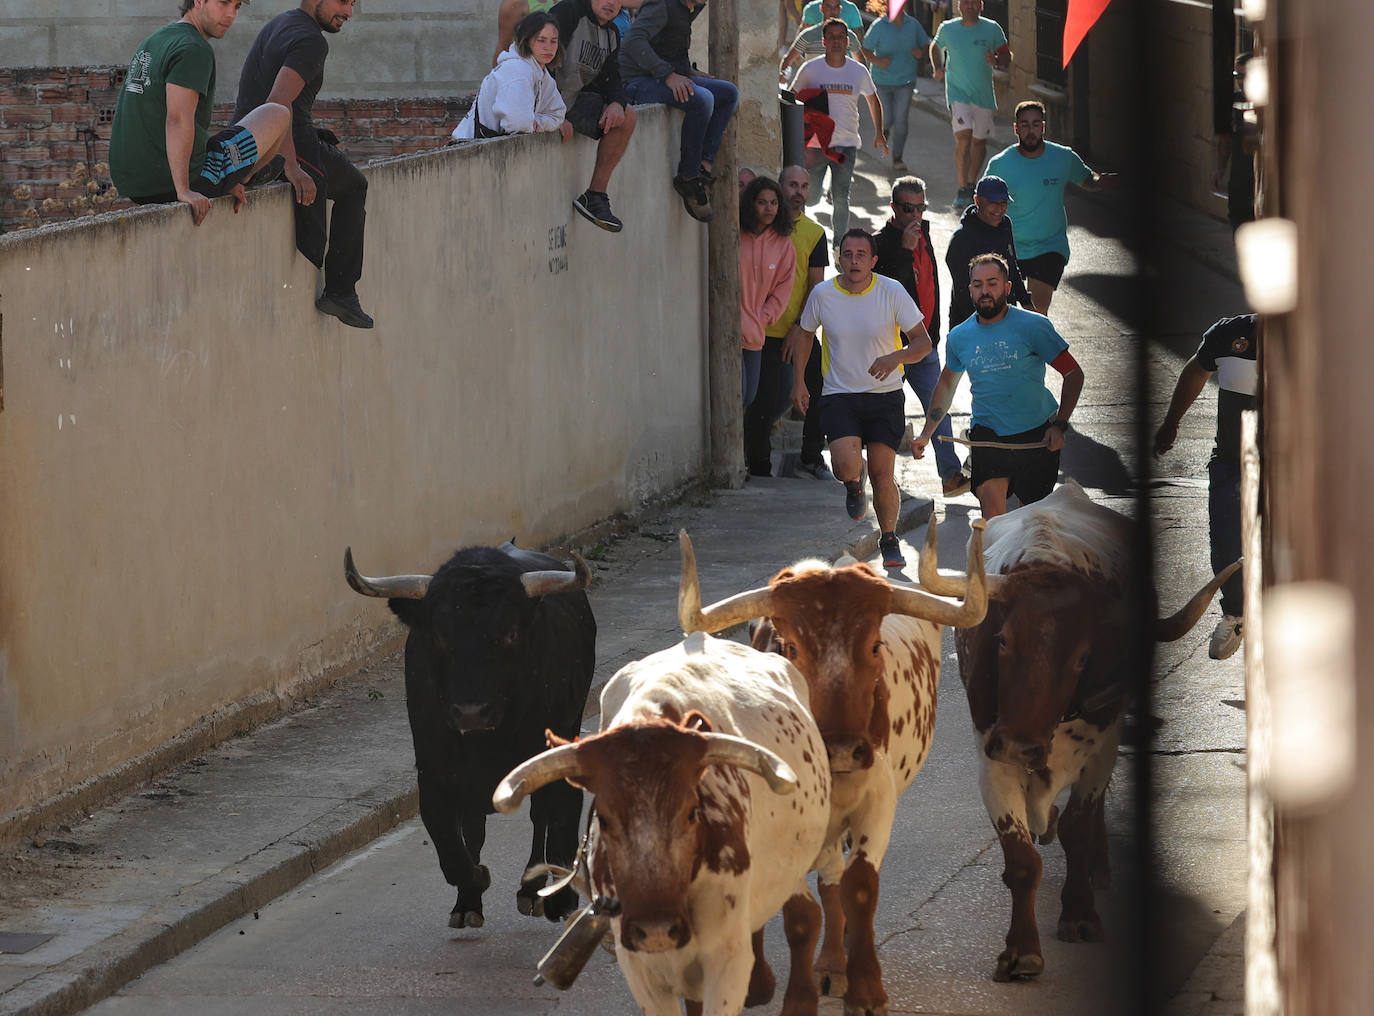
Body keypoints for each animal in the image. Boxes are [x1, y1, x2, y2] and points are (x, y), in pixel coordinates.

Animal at [343, 547, 596, 929]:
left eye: (510, 633)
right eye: (439, 636)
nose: (471, 712)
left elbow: (560, 828)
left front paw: (560, 900)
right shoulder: (434, 774)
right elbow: (452, 848)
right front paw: (474, 885)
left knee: (540, 818)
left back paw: (531, 891)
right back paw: (470, 902)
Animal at [497, 632, 835, 1011]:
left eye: (691, 812)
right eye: (604, 819)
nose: (656, 930)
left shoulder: (727, 963)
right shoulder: (640, 968)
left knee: (807, 914)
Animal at [678, 525, 989, 1016]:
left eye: (875, 646)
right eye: (790, 649)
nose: (841, 749)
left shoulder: (877, 800)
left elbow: (859, 888)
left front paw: (866, 990)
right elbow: (801, 912)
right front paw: (798, 998)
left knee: (837, 881)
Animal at [917, 483, 1242, 984]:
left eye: (1082, 657)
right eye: (1003, 640)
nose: (1019, 744)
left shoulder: (1100, 750)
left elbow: (1078, 827)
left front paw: (1080, 915)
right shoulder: (991, 759)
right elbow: (1022, 859)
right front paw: (1022, 952)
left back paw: (1099, 868)